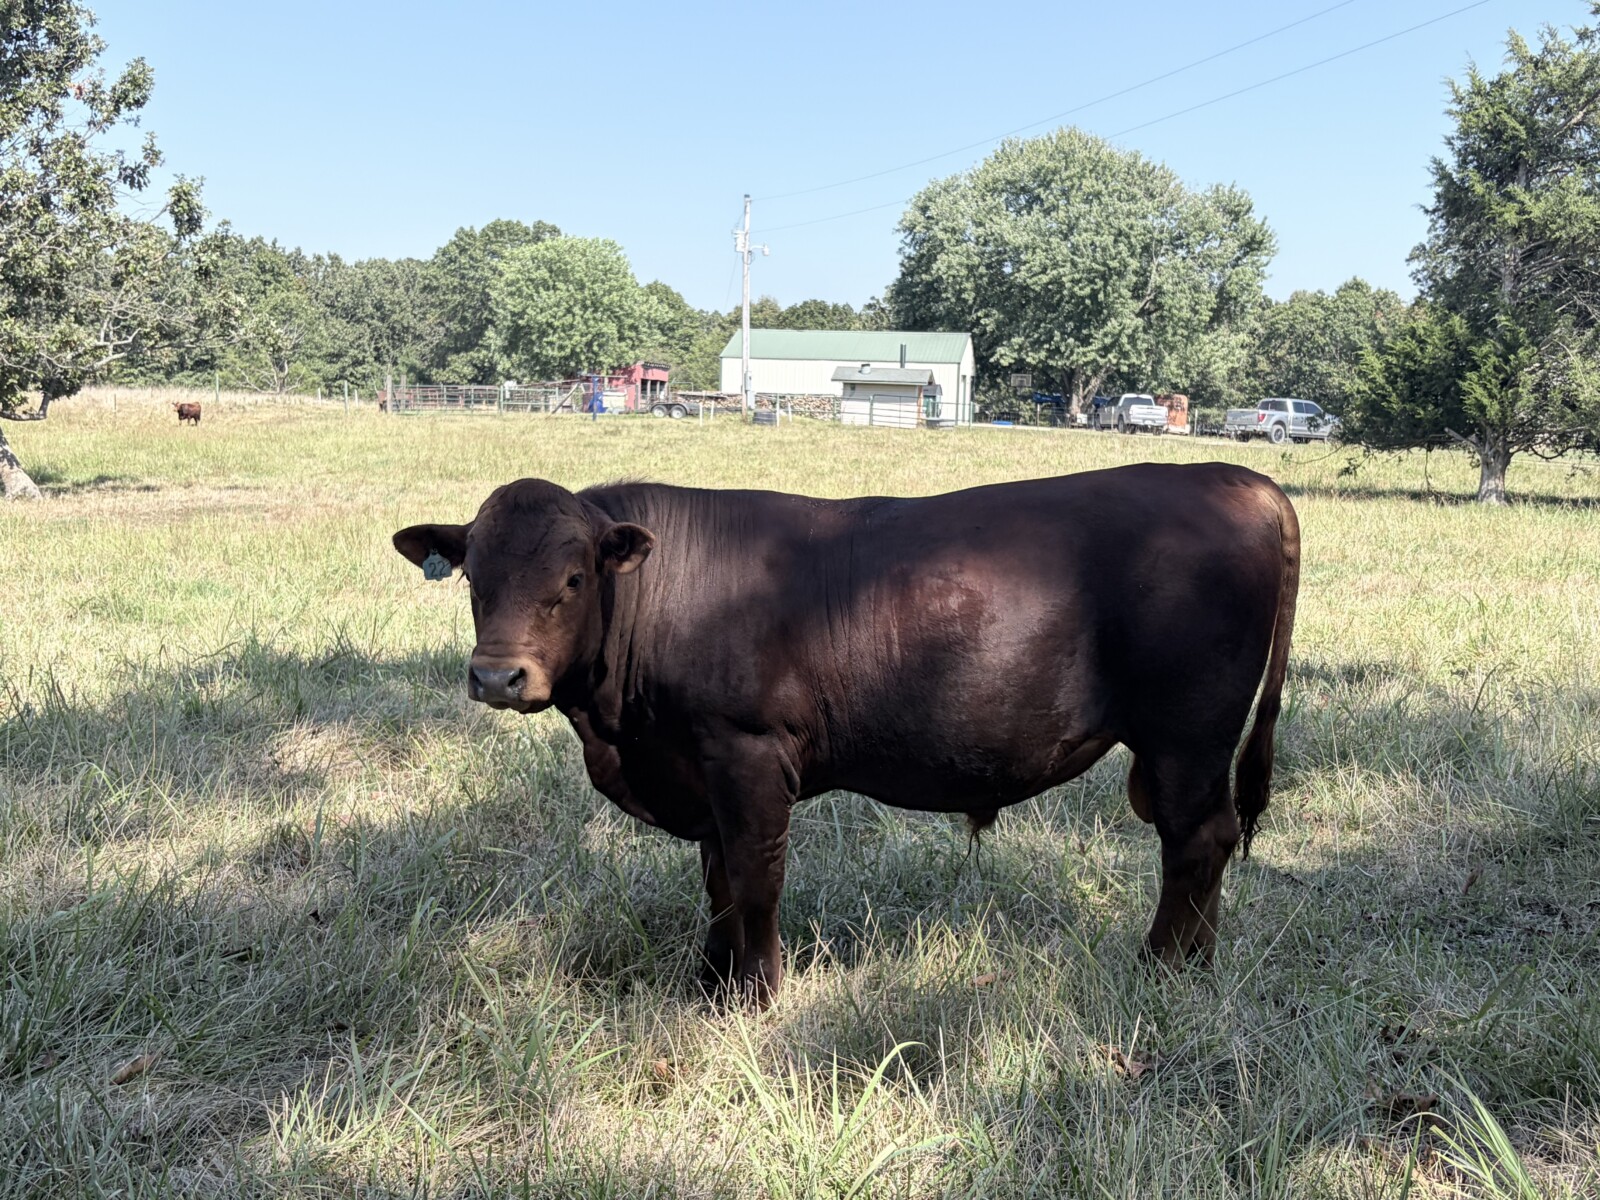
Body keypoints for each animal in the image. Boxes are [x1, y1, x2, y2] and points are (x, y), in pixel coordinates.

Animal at [393, 463, 1300, 1005]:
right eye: (472, 576)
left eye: (574, 577)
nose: (497, 677)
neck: (621, 732)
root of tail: (1239, 479)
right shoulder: (701, 766)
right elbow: (717, 880)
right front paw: (710, 982)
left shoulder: (748, 751)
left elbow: (754, 877)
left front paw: (755, 995)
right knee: (1210, 839)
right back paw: (1197, 964)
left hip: (1188, 734)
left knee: (1195, 841)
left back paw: (1162, 969)